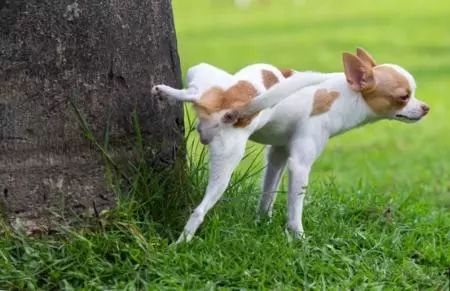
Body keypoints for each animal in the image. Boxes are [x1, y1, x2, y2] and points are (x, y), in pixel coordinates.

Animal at [153, 49, 430, 243]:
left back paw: (166, 91)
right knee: (199, 211)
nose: (426, 107)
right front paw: (299, 239)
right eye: (404, 97)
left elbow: (268, 194)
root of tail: (233, 105)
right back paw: (180, 244)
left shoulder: (278, 155)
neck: (345, 95)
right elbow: (295, 209)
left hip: (202, 74)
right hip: (228, 160)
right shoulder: (299, 165)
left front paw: (262, 222)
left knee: (194, 92)